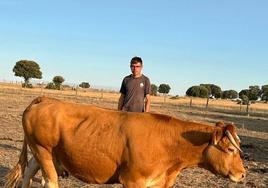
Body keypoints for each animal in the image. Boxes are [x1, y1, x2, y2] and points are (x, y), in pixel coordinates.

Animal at [4, 97, 246, 188]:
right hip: (43, 151)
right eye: (230, 149)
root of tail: (46, 99)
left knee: (28, 173)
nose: (243, 174)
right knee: (49, 181)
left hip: (41, 153)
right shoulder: (132, 180)